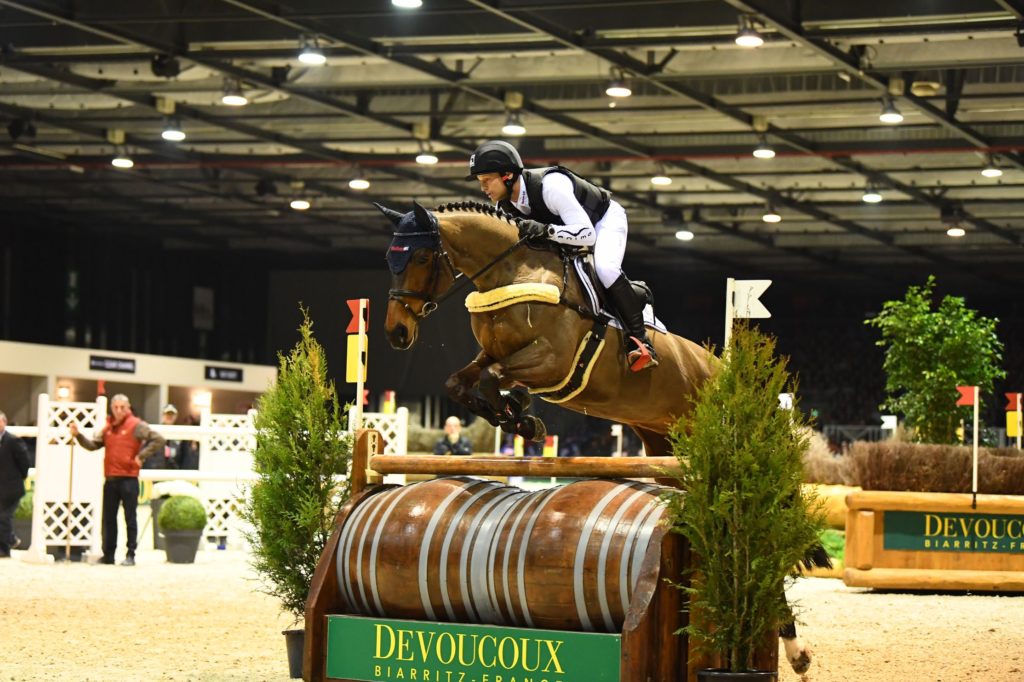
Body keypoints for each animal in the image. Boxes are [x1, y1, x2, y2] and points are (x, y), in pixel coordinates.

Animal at [380, 199, 819, 671]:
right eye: (390, 259)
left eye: (421, 258)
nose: (397, 333)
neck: (513, 270)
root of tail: (734, 379)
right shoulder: (493, 355)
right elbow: (461, 384)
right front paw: (518, 418)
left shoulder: (550, 360)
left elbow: (495, 378)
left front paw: (522, 416)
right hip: (667, 452)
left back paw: (793, 648)